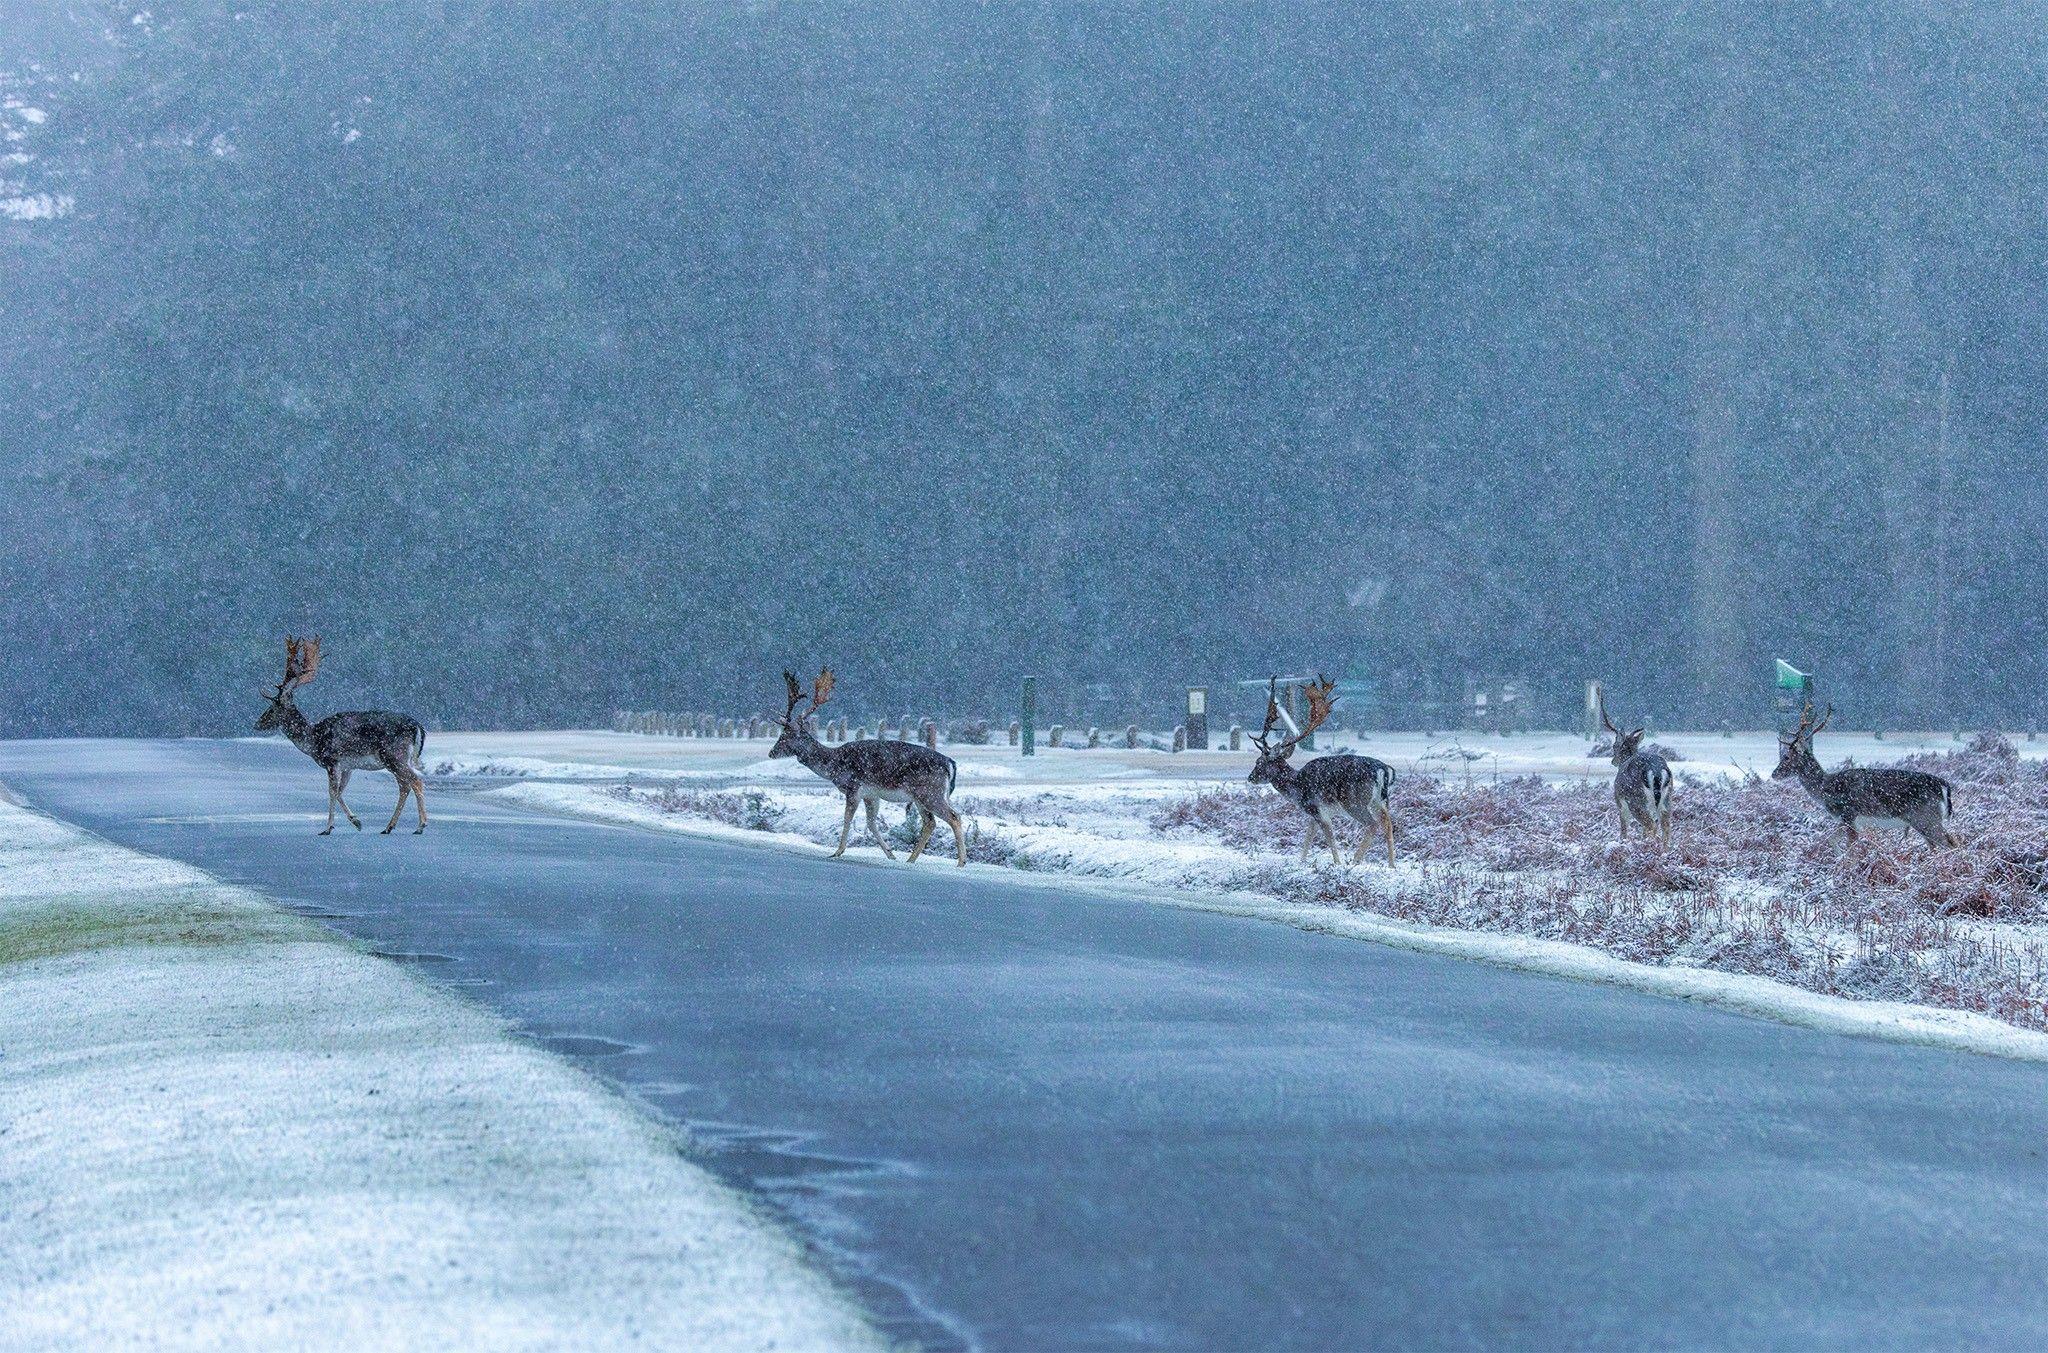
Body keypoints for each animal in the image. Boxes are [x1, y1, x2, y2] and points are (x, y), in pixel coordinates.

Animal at [256, 634, 432, 835]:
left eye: (273, 706)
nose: (258, 723)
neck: (314, 740)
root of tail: (418, 727)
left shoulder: (332, 761)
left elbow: (332, 791)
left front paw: (328, 828)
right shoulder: (348, 766)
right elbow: (340, 791)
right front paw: (356, 822)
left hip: (394, 755)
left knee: (415, 781)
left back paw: (420, 826)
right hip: (399, 759)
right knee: (404, 786)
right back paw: (389, 827)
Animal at [770, 663, 966, 863]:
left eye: (786, 735)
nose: (771, 752)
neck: (834, 764)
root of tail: (950, 763)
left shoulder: (854, 788)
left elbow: (847, 819)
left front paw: (837, 851)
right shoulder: (871, 794)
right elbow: (871, 823)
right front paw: (891, 854)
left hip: (930, 792)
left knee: (954, 816)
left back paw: (961, 862)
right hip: (922, 796)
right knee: (930, 822)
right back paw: (910, 860)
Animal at [1236, 675, 1400, 863]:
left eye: (1259, 762)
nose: (1250, 777)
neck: (1297, 787)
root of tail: (1384, 769)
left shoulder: (1317, 808)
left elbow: (1330, 839)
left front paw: (1338, 863)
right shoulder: (1313, 815)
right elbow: (1308, 839)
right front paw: (1301, 862)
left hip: (1355, 801)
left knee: (1373, 824)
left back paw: (1355, 861)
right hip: (1381, 801)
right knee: (1388, 824)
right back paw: (1391, 865)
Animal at [1589, 679, 1671, 839]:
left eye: (1614, 745)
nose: (1613, 761)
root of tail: (1657, 772)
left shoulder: (1620, 802)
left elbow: (1624, 830)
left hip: (1635, 800)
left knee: (1651, 825)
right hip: (1666, 800)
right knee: (1665, 827)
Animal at [1769, 700, 1957, 851]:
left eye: (1786, 756)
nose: (1773, 774)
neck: (1825, 789)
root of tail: (1943, 784)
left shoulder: (1849, 814)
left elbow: (1850, 846)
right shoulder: (1847, 819)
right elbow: (1831, 840)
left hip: (1924, 817)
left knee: (1949, 843)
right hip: (1926, 819)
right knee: (1940, 844)